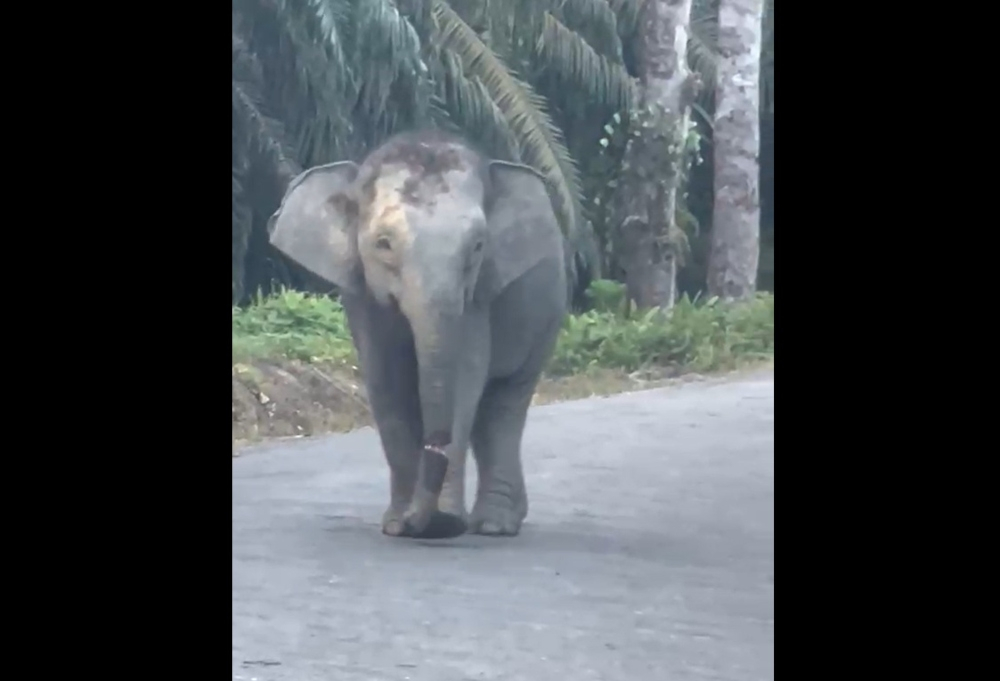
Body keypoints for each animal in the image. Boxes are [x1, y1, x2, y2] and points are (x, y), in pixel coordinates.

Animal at [267, 130, 567, 539]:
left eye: (477, 247)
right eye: (383, 243)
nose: (437, 446)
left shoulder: (477, 293)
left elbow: (466, 378)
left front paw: (442, 524)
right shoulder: (363, 297)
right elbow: (385, 382)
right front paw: (399, 525)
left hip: (547, 314)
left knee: (505, 403)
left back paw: (494, 525)